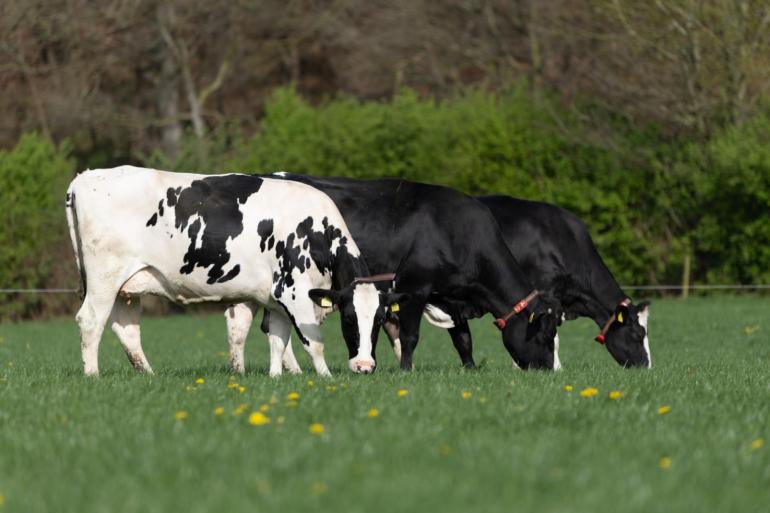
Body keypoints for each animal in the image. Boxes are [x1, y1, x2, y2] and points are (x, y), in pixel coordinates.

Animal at [64, 167, 402, 376]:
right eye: (349, 319)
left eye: (380, 320)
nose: (364, 366)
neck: (316, 229)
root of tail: (85, 177)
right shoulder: (293, 291)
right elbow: (313, 341)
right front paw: (327, 379)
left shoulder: (275, 299)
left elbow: (278, 339)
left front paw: (276, 378)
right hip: (104, 277)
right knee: (90, 320)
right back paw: (92, 375)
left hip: (129, 286)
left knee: (126, 329)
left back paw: (149, 375)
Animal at [222, 173, 560, 372]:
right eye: (545, 336)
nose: (548, 371)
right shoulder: (415, 286)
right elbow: (410, 335)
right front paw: (405, 370)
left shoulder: (449, 296)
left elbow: (463, 337)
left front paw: (470, 369)